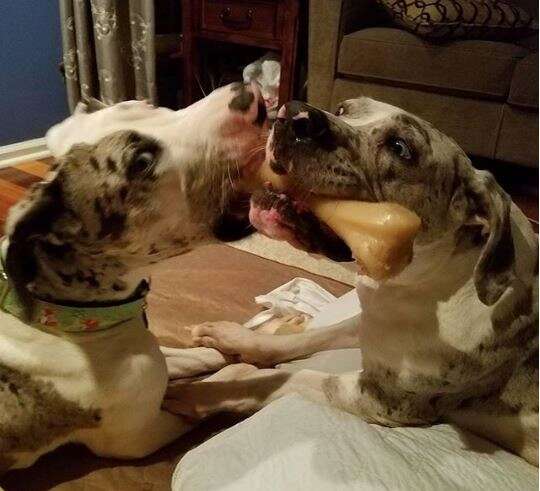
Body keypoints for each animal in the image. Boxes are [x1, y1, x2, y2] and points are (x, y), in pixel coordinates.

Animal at [166, 98, 540, 468]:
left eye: (400, 148)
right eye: (344, 109)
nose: (295, 114)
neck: (417, 287)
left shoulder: (382, 400)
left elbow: (290, 377)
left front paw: (201, 391)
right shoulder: (366, 323)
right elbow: (303, 338)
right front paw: (232, 337)